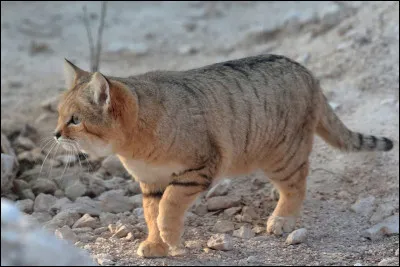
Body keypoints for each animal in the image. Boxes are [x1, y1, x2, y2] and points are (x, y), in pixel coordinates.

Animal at [54, 55, 394, 258]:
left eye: (75, 120)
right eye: (58, 115)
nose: (55, 134)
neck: (135, 143)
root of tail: (307, 72)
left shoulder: (198, 169)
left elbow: (169, 206)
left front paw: (169, 237)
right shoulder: (151, 183)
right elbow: (152, 212)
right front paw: (155, 243)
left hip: (282, 154)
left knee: (297, 184)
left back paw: (282, 218)